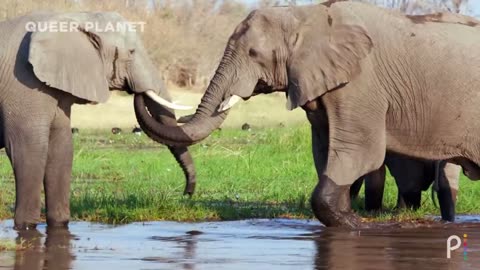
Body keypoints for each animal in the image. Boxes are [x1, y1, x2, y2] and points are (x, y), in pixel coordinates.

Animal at [0, 11, 197, 229]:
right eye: (132, 52)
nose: (187, 194)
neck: (72, 19)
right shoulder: (23, 83)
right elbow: (28, 150)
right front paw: (26, 227)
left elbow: (61, 149)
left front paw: (59, 225)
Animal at [133, 1, 480, 228]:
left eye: (253, 54)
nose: (138, 91)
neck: (304, 14)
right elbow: (325, 154)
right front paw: (353, 218)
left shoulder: (362, 84)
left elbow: (361, 154)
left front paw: (359, 226)